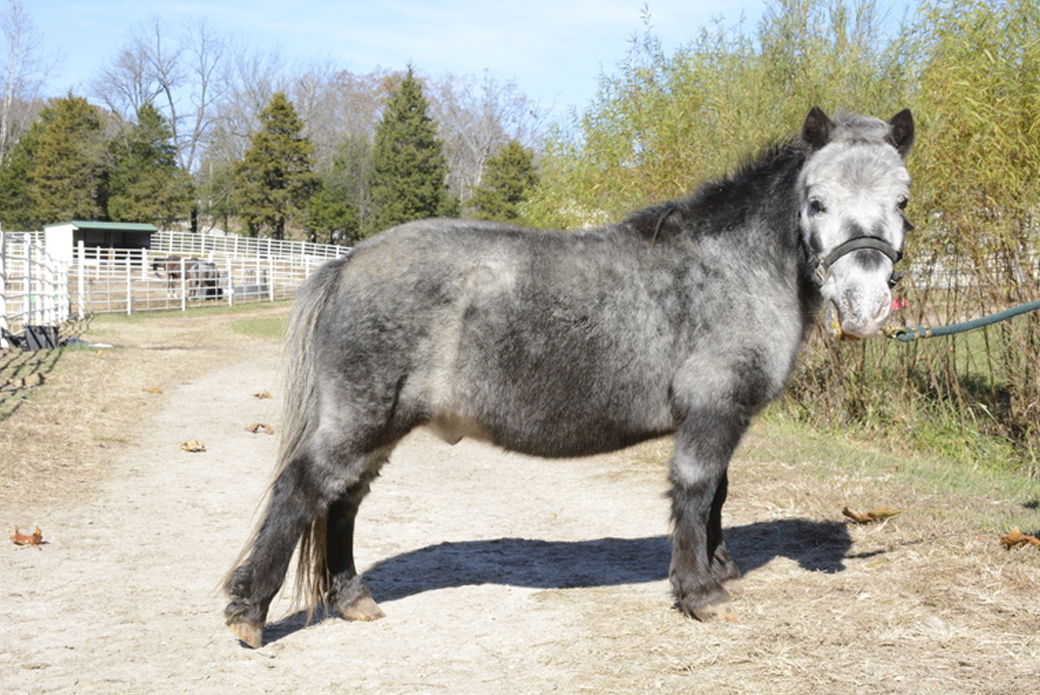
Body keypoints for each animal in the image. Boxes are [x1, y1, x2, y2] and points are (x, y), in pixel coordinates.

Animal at [225, 106, 911, 649]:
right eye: (816, 201)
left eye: (901, 202)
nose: (866, 306)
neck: (730, 266)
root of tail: (345, 263)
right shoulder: (713, 411)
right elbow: (695, 491)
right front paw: (700, 593)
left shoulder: (724, 417)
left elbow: (717, 493)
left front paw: (718, 568)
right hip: (359, 422)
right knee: (302, 491)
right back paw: (250, 612)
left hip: (378, 427)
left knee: (341, 502)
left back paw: (351, 599)